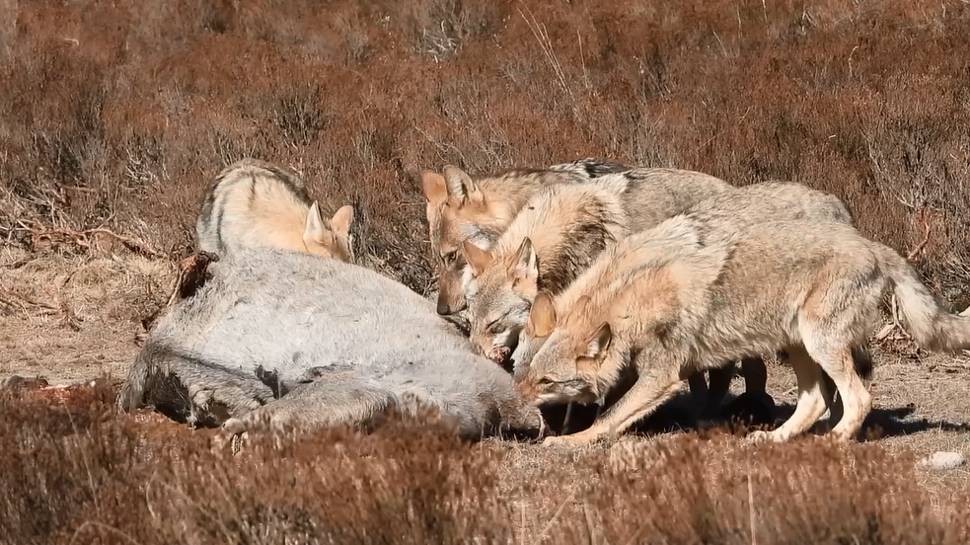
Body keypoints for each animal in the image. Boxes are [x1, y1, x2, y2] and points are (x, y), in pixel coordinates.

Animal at [520, 215, 964, 444]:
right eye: (525, 374)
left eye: (546, 382)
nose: (516, 399)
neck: (630, 304)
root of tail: (875, 246)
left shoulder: (661, 377)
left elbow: (609, 418)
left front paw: (568, 442)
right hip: (800, 346)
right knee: (816, 401)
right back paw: (776, 438)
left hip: (821, 344)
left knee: (858, 399)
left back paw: (834, 441)